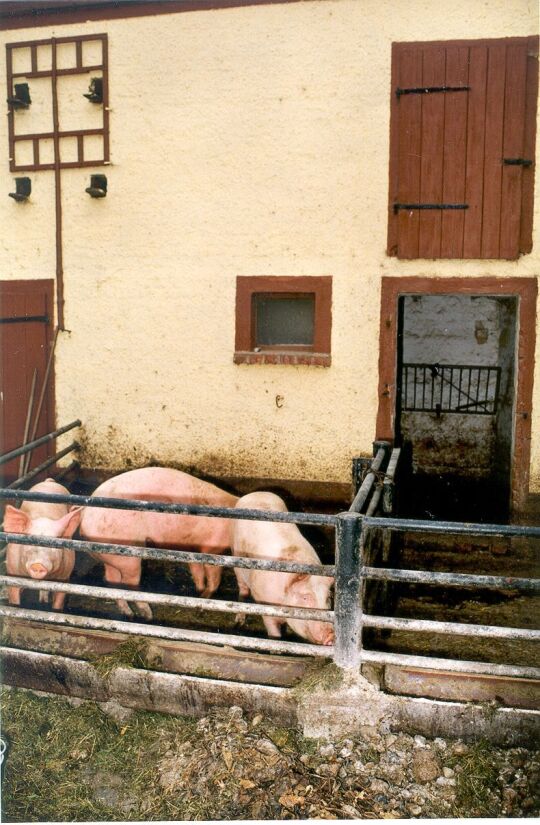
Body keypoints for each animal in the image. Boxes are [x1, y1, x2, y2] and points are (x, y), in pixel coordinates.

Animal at [2, 476, 82, 612]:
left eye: (54, 545)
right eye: (29, 542)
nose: (38, 565)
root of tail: (49, 481)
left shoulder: (65, 577)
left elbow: (58, 602)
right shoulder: (12, 573)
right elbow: (14, 599)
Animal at [80, 466, 238, 616]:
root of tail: (85, 515)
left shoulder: (192, 550)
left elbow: (196, 571)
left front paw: (198, 592)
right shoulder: (213, 549)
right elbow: (213, 576)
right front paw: (205, 597)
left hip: (110, 556)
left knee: (112, 581)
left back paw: (128, 613)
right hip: (128, 556)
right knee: (129, 584)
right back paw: (148, 614)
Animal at [231, 490, 334, 644]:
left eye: (328, 598)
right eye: (305, 597)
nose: (331, 634)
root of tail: (256, 493)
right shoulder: (265, 605)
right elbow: (274, 634)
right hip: (236, 561)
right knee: (243, 590)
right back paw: (239, 622)